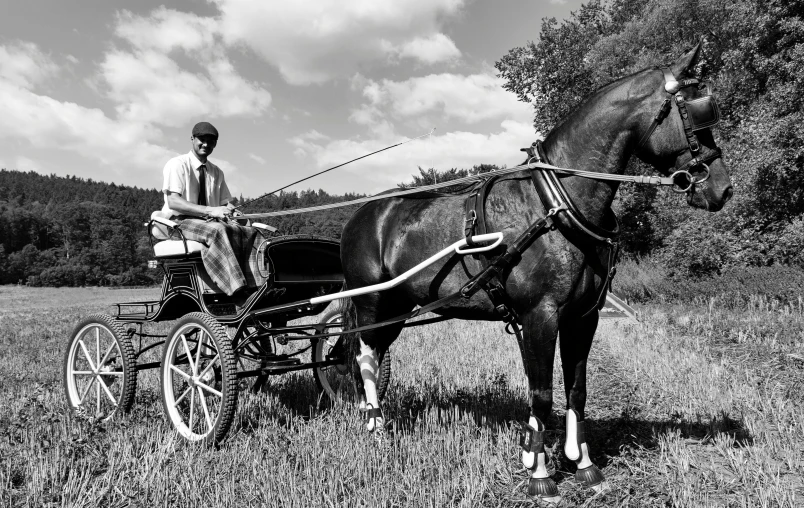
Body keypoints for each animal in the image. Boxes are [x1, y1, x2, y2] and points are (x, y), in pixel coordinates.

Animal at [336, 44, 732, 504]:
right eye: (695, 111)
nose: (723, 189)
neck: (555, 205)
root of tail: (362, 213)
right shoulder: (539, 315)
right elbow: (541, 394)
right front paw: (538, 471)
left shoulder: (582, 317)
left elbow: (576, 388)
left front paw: (583, 464)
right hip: (371, 300)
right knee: (365, 357)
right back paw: (376, 427)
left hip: (399, 306)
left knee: (373, 354)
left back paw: (374, 415)